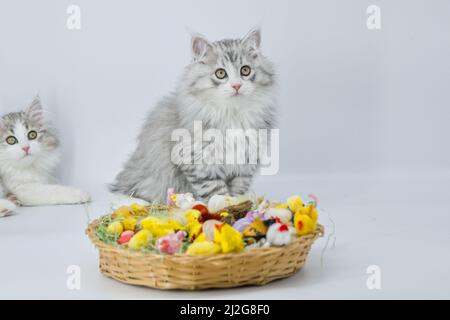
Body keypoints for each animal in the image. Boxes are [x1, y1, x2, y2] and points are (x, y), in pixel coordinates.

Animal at [110, 28, 276, 201]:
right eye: (221, 73)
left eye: (245, 70)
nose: (236, 85)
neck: (231, 114)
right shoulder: (197, 161)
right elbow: (216, 191)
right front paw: (225, 204)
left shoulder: (246, 162)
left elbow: (238, 189)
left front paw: (240, 203)